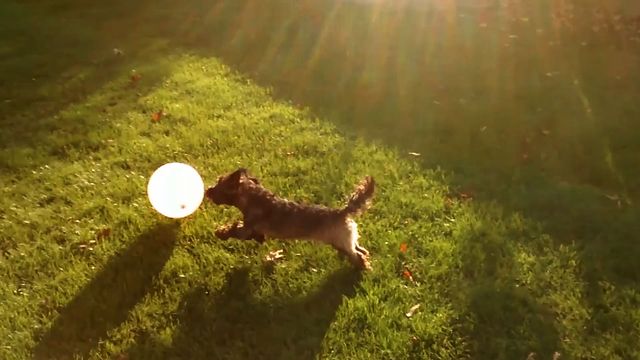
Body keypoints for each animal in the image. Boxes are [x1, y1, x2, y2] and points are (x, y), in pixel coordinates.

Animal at [205, 169, 376, 270]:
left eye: (219, 184)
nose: (208, 190)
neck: (254, 198)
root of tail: (342, 212)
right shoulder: (252, 230)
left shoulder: (246, 229)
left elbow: (233, 228)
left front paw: (220, 232)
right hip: (346, 240)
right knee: (359, 249)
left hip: (341, 242)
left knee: (357, 255)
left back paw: (363, 267)